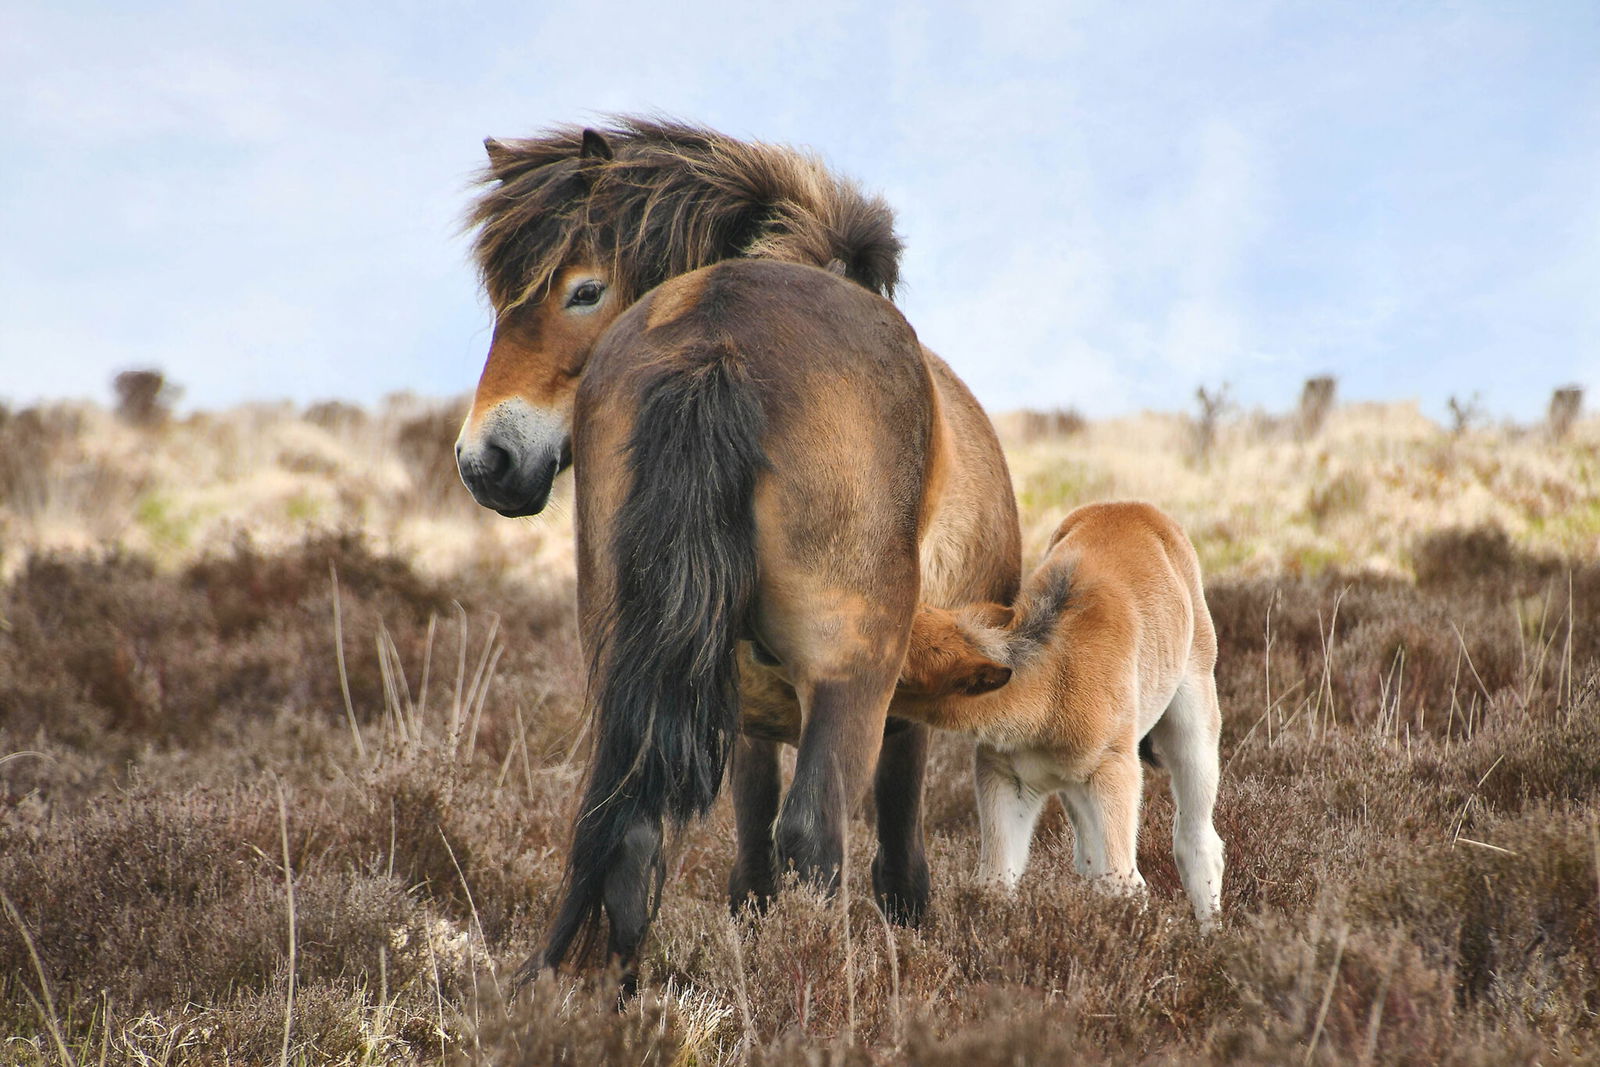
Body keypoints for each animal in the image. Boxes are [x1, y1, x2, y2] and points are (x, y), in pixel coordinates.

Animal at [450, 119, 1020, 978]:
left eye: (583, 290)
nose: (487, 461)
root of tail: (715, 337)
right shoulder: (901, 707)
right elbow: (891, 850)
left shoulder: (745, 706)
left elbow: (747, 853)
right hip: (852, 672)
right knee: (815, 835)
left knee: (627, 830)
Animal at [893, 501, 1227, 927]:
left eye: (901, 675)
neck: (1053, 682)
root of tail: (1131, 506)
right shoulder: (1006, 778)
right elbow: (995, 883)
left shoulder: (1115, 772)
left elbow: (1125, 883)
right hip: (1075, 791)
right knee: (1088, 858)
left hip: (1194, 717)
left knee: (1197, 841)